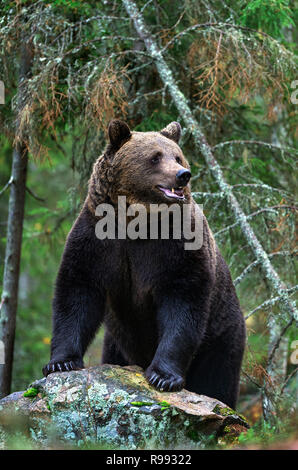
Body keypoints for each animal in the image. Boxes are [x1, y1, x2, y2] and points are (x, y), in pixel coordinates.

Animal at [43, 120, 246, 408]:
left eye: (177, 156)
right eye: (155, 157)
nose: (183, 174)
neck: (137, 222)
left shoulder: (178, 249)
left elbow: (183, 305)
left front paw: (164, 377)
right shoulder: (97, 241)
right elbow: (77, 293)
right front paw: (60, 363)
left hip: (222, 337)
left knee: (217, 379)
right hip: (116, 342)